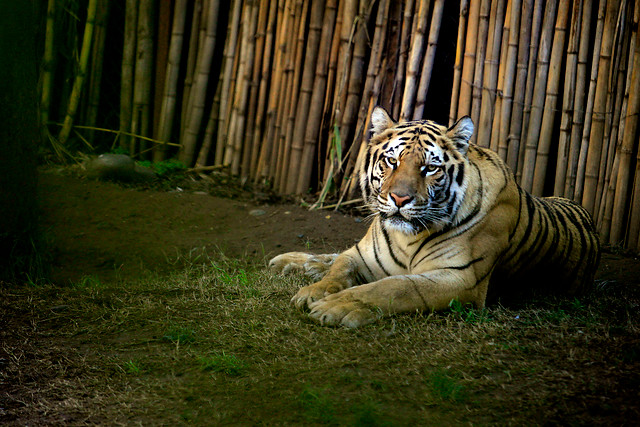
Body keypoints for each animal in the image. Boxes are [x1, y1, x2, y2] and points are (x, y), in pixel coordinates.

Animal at [270, 106, 600, 328]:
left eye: (430, 168)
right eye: (392, 161)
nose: (399, 199)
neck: (406, 238)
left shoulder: (461, 278)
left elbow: (395, 287)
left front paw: (338, 306)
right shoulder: (361, 255)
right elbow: (339, 268)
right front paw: (312, 292)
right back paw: (290, 262)